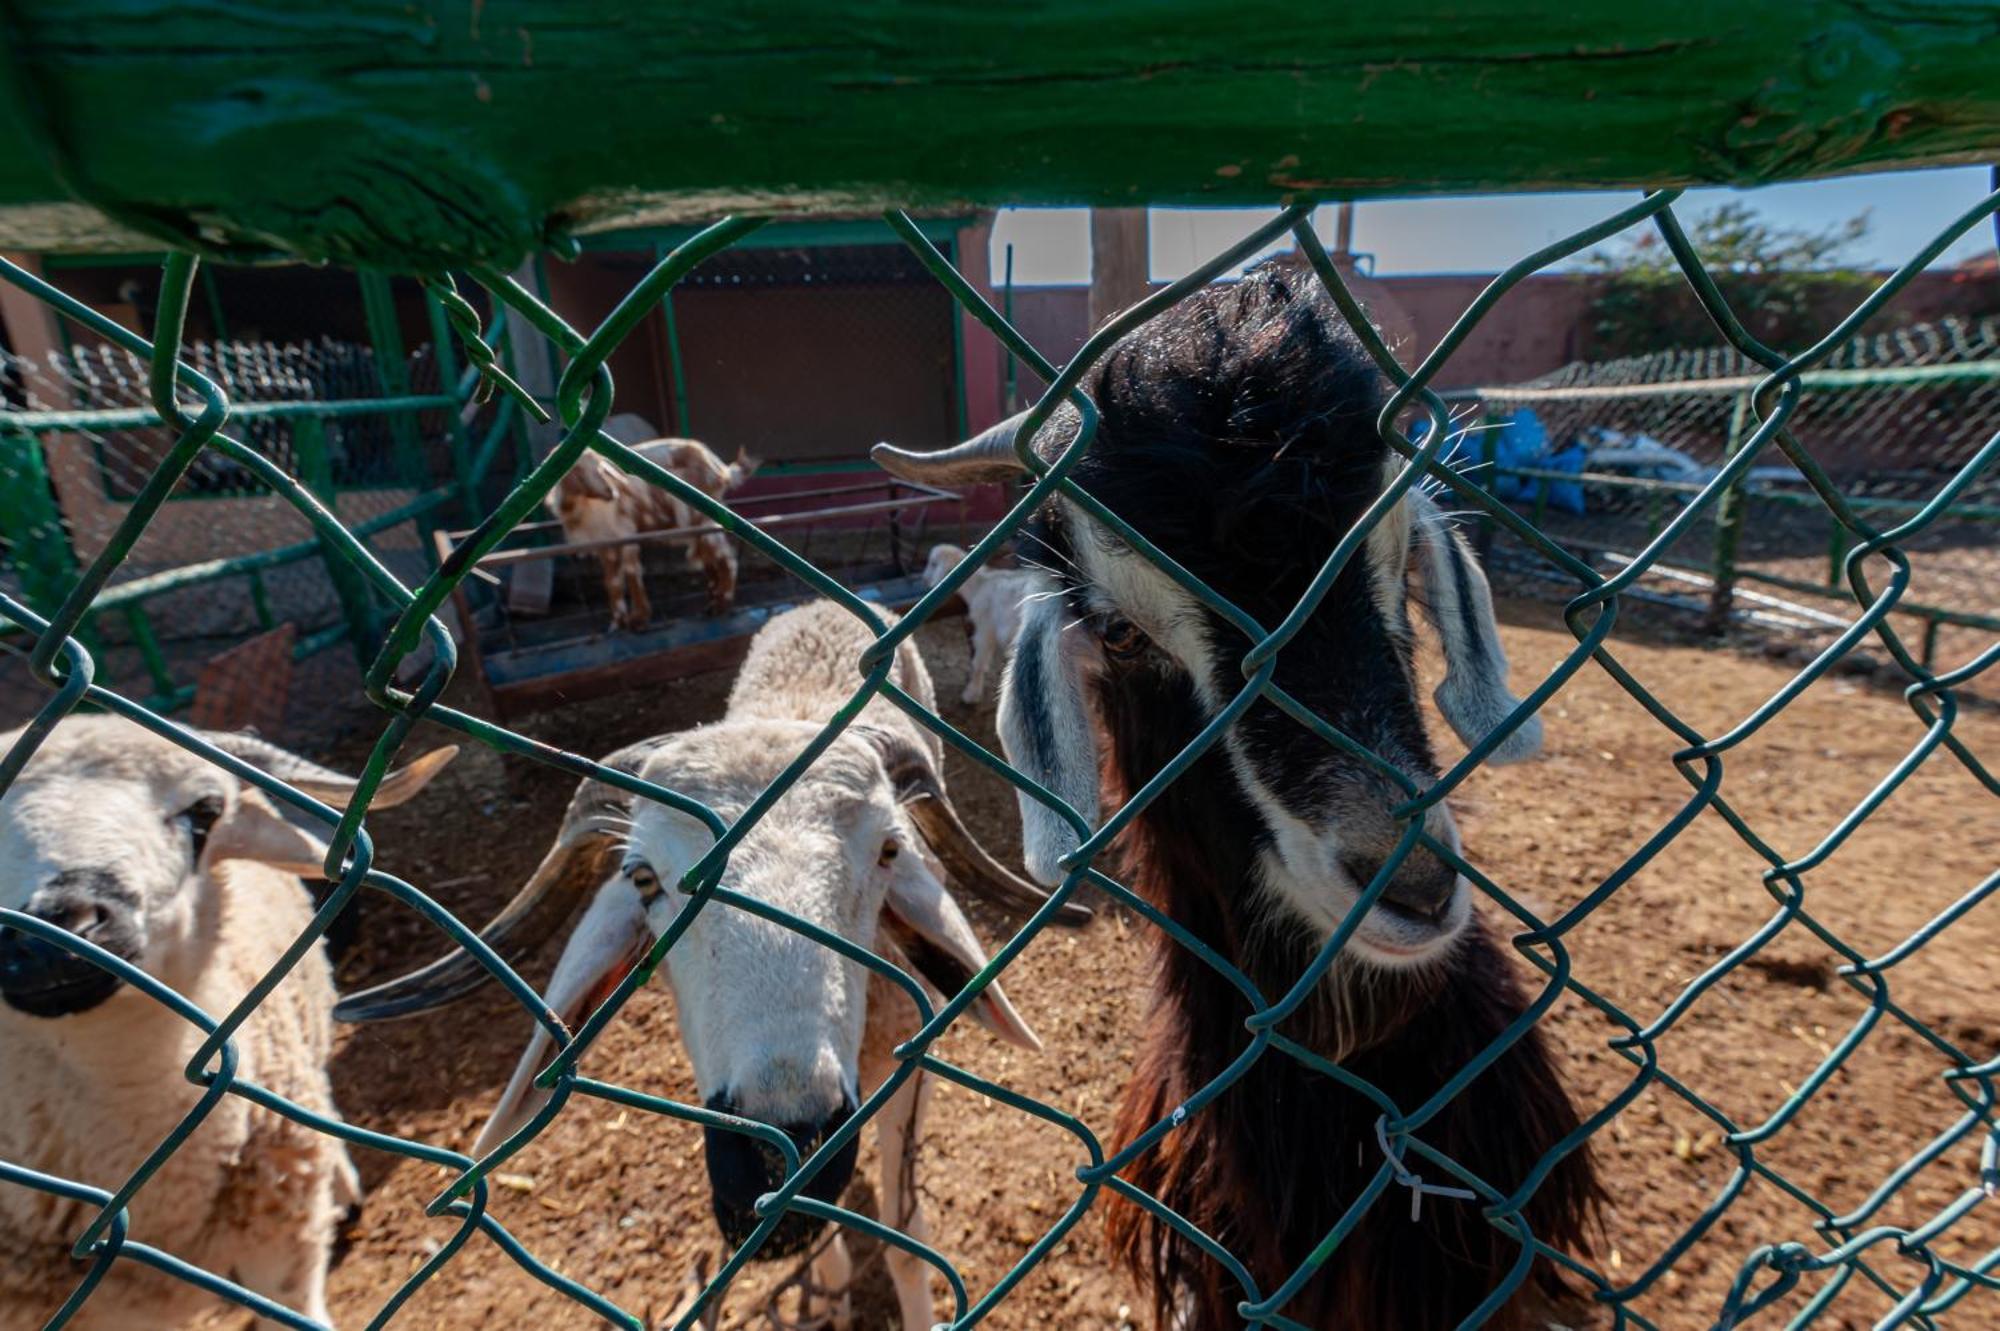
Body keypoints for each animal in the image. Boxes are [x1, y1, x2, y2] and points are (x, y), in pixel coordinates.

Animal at [336, 599, 1088, 1327]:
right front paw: (827, 1290)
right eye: (643, 878)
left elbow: (905, 1240)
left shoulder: (908, 1067)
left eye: (888, 852)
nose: (779, 1152)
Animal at [548, 429, 756, 627]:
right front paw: (617, 623)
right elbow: (612, 582)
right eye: (580, 470)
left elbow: (631, 573)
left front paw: (638, 619)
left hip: (704, 518)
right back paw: (712, 602)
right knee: (708, 558)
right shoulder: (605, 544)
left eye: (600, 468)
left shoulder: (625, 532)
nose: (611, 492)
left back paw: (721, 604)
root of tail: (719, 468)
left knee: (726, 558)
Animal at [916, 543, 1048, 703]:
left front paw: (971, 693)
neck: (980, 584)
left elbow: (978, 662)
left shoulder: (985, 627)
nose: (924, 579)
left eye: (933, 564)